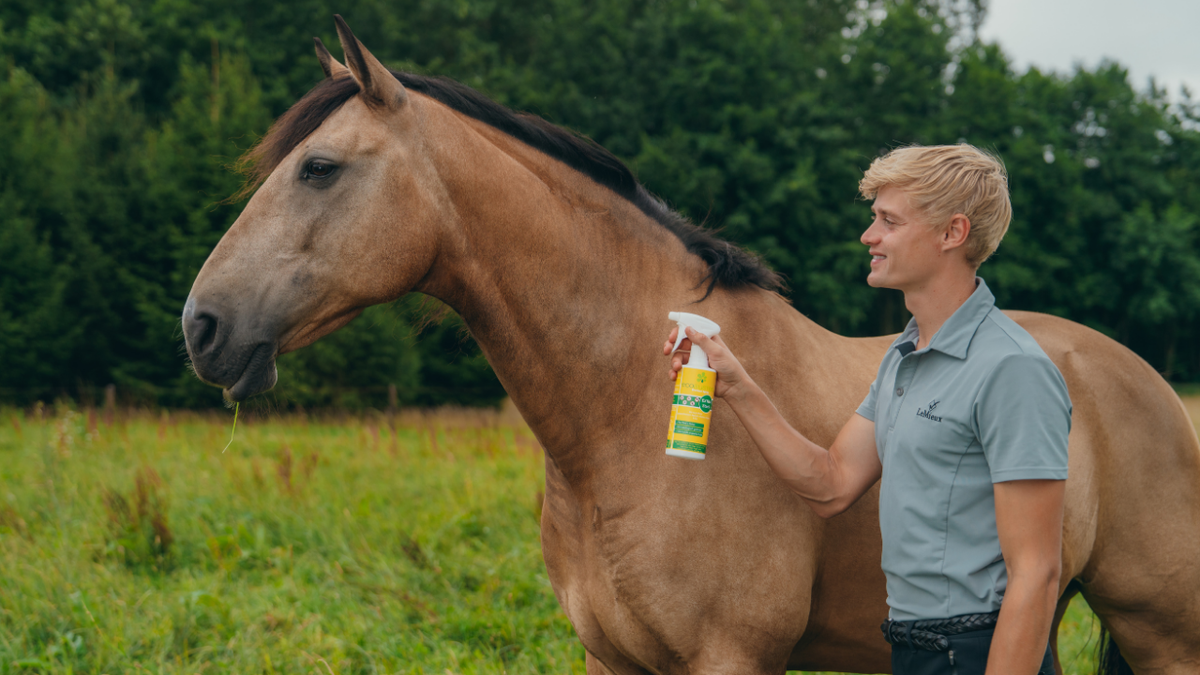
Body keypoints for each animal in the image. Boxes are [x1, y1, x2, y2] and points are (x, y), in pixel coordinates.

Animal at [182, 17, 1200, 674]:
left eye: (319, 168)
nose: (203, 325)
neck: (617, 420)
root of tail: (1143, 379)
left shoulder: (730, 655)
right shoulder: (612, 659)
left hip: (1164, 634)